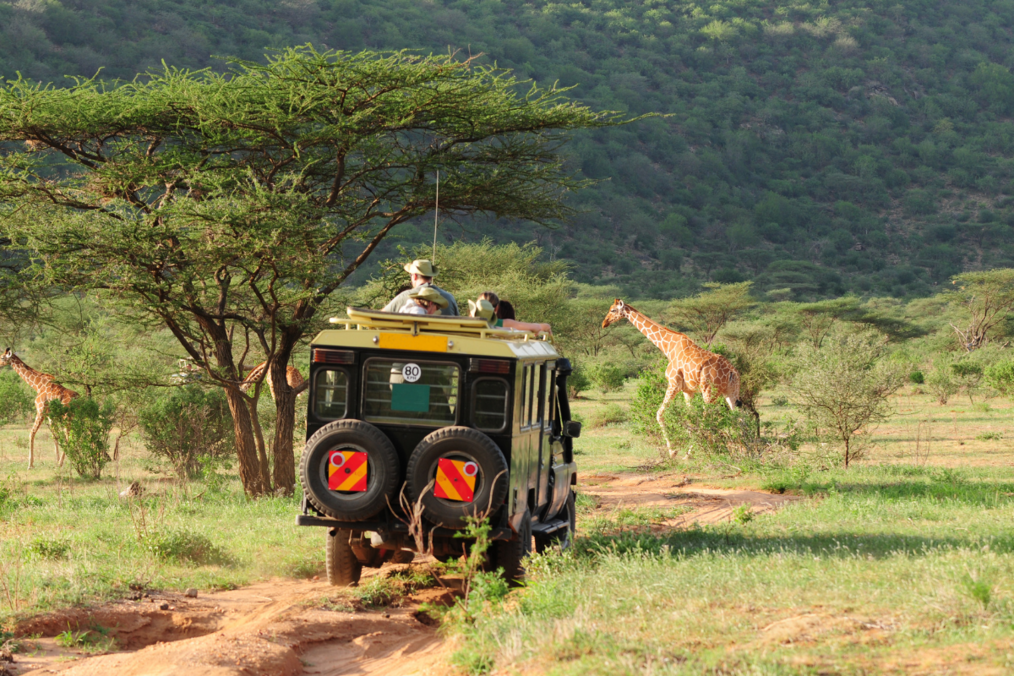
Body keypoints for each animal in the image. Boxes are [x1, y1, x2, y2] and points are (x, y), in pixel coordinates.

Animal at [602, 300, 741, 456]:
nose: (604, 323)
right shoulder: (688, 391)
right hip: (730, 392)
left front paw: (673, 451)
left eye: (612, 310)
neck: (668, 347)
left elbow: (659, 414)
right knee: (739, 417)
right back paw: (743, 450)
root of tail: (732, 372)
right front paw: (694, 450)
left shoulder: (674, 384)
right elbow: (690, 418)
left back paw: (703, 452)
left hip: (709, 392)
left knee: (709, 417)